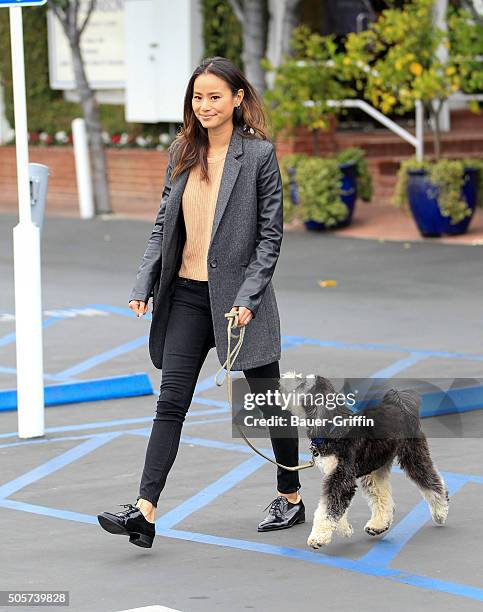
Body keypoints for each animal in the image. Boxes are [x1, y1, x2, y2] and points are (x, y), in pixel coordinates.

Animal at [280, 372, 450, 548]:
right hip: (375, 467)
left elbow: (327, 508)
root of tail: (399, 405)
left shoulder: (341, 477)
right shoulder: (337, 477)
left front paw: (318, 537)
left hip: (413, 456)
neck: (333, 428)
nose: (282, 378)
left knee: (431, 482)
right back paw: (378, 525)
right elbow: (335, 507)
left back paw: (440, 512)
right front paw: (345, 529)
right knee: (381, 495)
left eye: (302, 383)